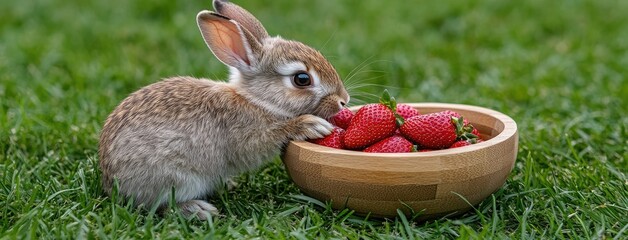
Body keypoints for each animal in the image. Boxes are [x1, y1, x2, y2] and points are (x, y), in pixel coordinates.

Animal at [100, 0, 350, 219]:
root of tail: (111, 183)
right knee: (158, 205)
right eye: (302, 79)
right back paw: (197, 210)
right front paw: (310, 125)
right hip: (175, 177)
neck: (258, 101)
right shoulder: (246, 137)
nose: (343, 100)